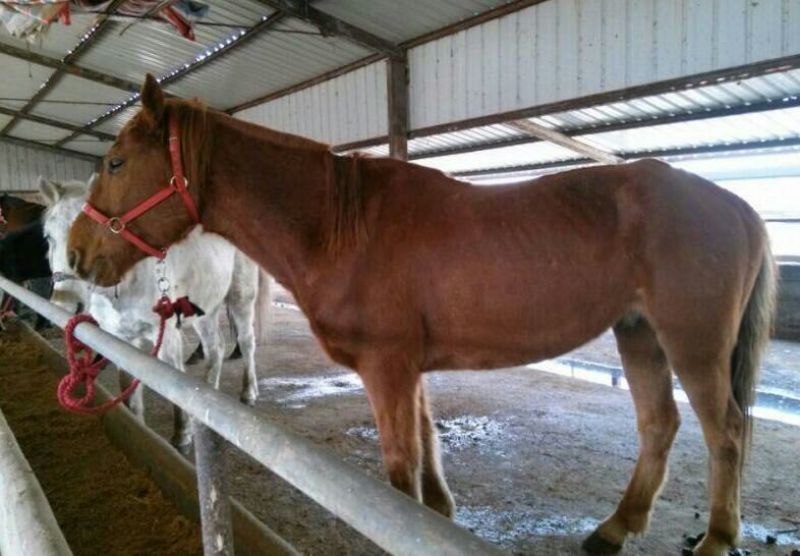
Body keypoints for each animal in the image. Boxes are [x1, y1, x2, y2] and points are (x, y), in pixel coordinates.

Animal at [42, 176, 268, 451]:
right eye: (48, 236)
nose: (65, 305)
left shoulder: (166, 334)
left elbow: (174, 384)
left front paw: (182, 436)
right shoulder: (120, 341)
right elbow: (131, 394)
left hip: (240, 297)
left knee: (246, 342)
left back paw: (248, 393)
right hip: (205, 309)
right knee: (215, 349)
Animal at [66, 75, 777, 556]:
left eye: (116, 163)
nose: (77, 253)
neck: (340, 228)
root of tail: (738, 207)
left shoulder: (386, 368)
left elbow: (398, 468)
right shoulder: (409, 368)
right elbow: (428, 447)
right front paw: (438, 513)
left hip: (692, 343)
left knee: (727, 431)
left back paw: (716, 537)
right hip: (639, 335)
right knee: (659, 424)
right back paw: (615, 528)